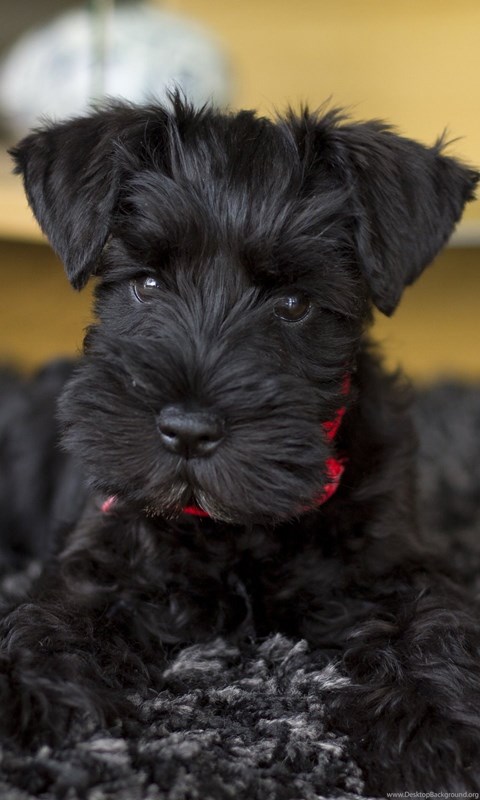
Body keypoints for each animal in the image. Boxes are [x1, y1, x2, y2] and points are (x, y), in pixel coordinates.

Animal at [1, 95, 480, 794]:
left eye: (294, 303)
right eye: (148, 283)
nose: (188, 430)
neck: (238, 529)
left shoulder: (396, 561)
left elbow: (437, 620)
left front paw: (430, 719)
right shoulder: (105, 556)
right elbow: (51, 616)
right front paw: (31, 692)